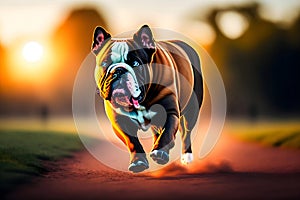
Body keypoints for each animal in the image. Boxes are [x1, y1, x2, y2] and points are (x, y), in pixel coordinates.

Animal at [91, 24, 204, 172]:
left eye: (135, 63)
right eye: (104, 64)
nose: (119, 70)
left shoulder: (170, 112)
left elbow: (167, 131)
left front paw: (160, 152)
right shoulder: (120, 122)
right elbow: (132, 142)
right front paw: (138, 162)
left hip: (192, 109)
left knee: (186, 132)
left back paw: (186, 156)